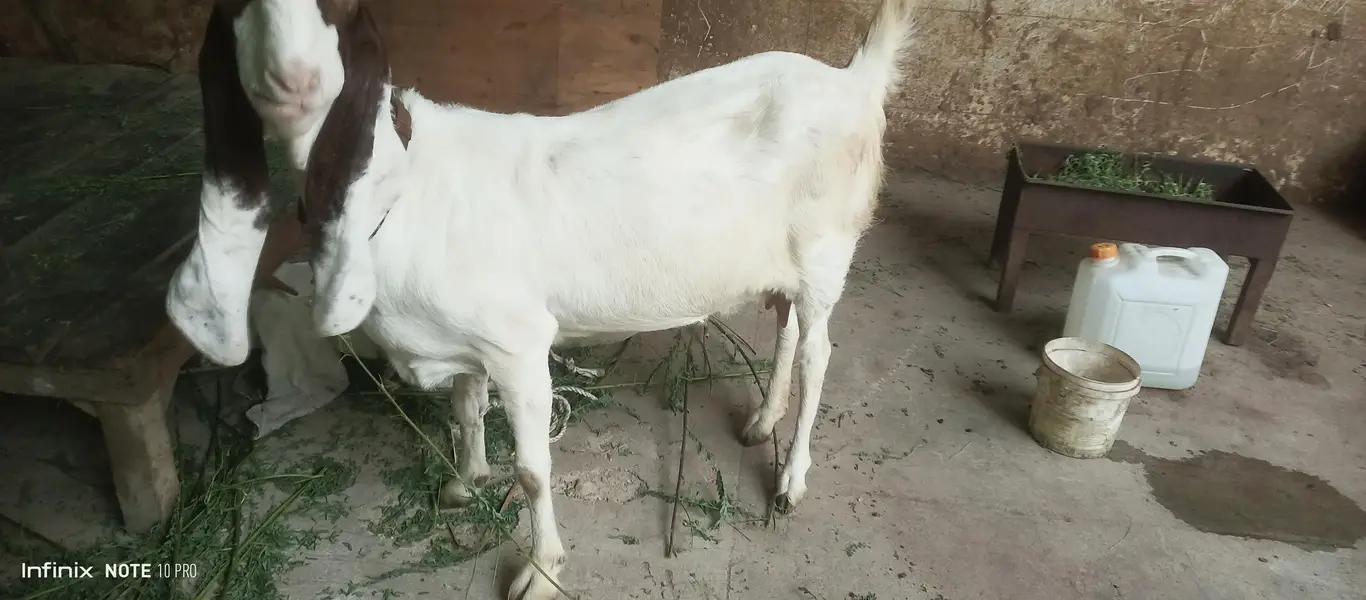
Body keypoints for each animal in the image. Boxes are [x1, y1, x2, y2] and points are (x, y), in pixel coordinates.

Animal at [165, 0, 917, 597]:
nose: (293, 80)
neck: (402, 188)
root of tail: (853, 79)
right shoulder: (467, 343)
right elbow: (465, 411)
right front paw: (464, 481)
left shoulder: (519, 345)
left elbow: (531, 471)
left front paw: (542, 571)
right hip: (785, 264)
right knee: (791, 330)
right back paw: (763, 420)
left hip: (826, 250)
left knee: (820, 354)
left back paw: (790, 480)